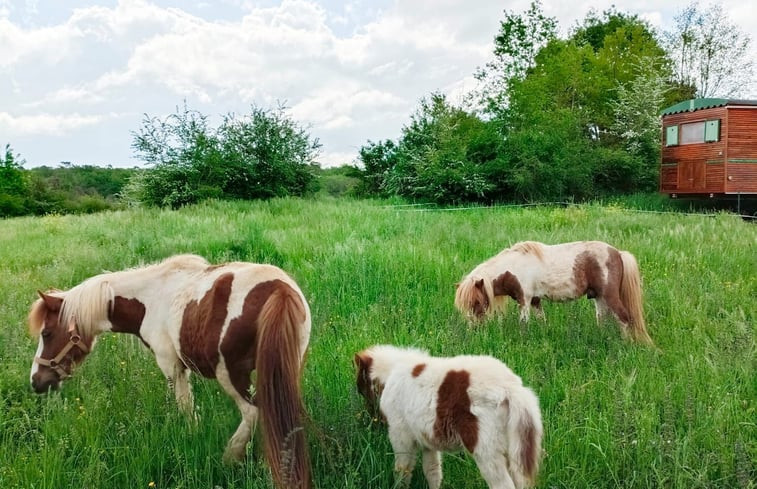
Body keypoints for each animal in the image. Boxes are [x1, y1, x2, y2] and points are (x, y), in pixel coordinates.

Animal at [26, 255, 310, 488]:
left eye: (47, 333)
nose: (36, 381)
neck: (150, 298)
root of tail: (280, 291)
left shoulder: (172, 366)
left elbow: (185, 407)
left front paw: (194, 436)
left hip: (231, 375)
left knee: (253, 412)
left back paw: (230, 457)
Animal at [354, 344, 544, 488]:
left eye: (361, 389)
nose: (372, 419)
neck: (392, 373)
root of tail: (511, 389)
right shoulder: (427, 440)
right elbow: (432, 471)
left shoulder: (401, 436)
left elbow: (403, 471)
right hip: (516, 449)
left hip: (487, 451)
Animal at [454, 239, 656, 346]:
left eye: (477, 302)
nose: (472, 329)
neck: (513, 267)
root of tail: (618, 253)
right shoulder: (535, 300)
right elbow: (541, 320)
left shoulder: (524, 300)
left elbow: (524, 324)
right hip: (599, 298)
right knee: (602, 318)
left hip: (610, 296)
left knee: (624, 318)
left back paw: (626, 344)